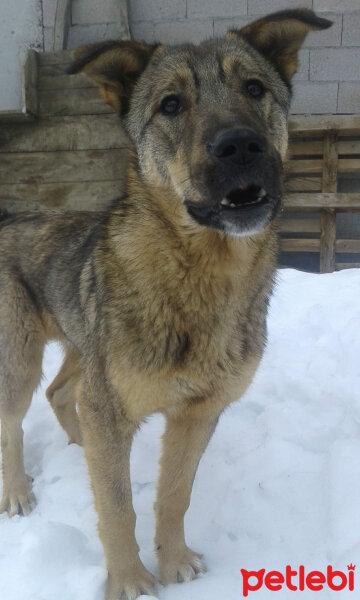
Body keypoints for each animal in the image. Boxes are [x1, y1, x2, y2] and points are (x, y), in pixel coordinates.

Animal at [0, 10, 332, 600]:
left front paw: (174, 562)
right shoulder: (113, 405)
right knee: (11, 423)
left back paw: (80, 444)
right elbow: (117, 508)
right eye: (171, 105)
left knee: (64, 395)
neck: (202, 276)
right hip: (21, 360)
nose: (240, 146)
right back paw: (17, 490)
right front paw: (131, 581)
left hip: (86, 348)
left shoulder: (199, 412)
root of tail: (10, 218)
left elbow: (175, 494)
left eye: (255, 88)